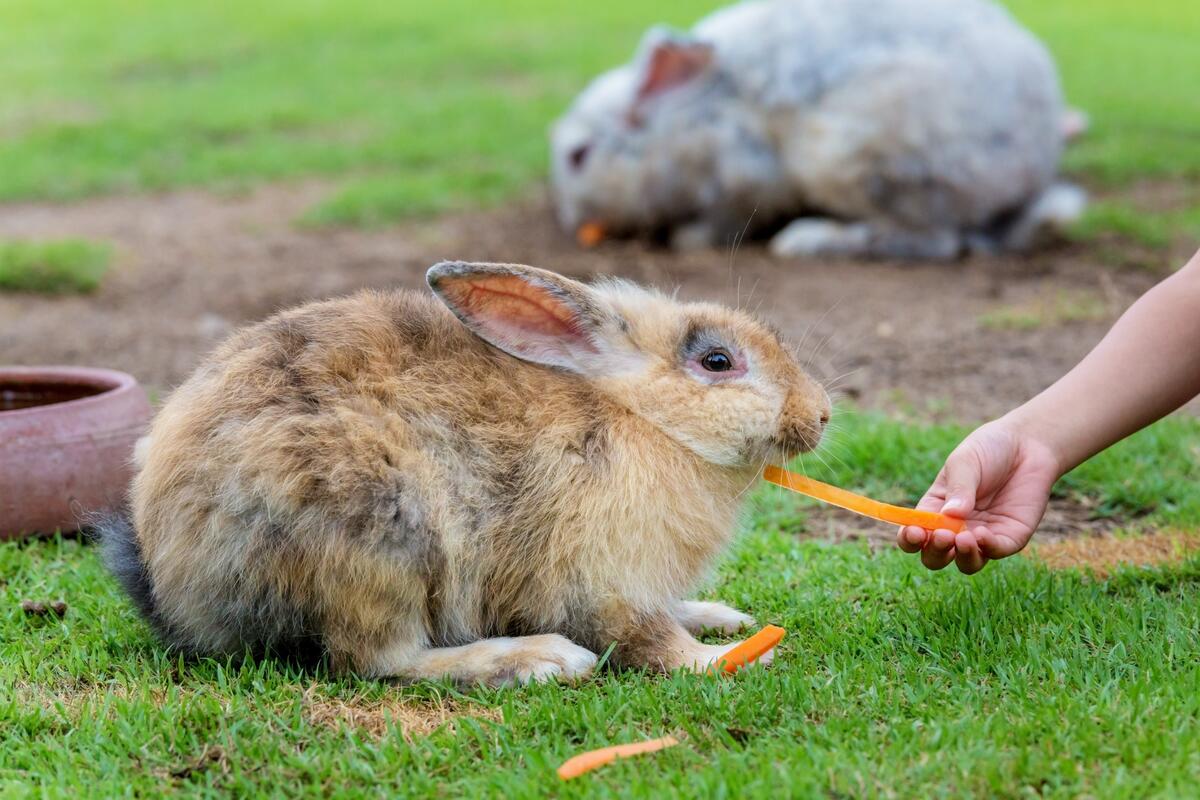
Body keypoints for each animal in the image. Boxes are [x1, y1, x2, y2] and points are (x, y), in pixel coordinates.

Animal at [98, 262, 830, 690]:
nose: (821, 414)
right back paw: (539, 660)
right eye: (716, 362)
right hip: (383, 535)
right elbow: (651, 641)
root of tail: (170, 581)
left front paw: (723, 616)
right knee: (377, 660)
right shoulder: (607, 582)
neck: (641, 418)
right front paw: (731, 657)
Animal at [549, 0, 1089, 260]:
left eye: (579, 155)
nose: (573, 222)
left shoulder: (741, 179)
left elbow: (720, 222)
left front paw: (688, 239)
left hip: (850, 156)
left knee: (932, 241)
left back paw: (807, 240)